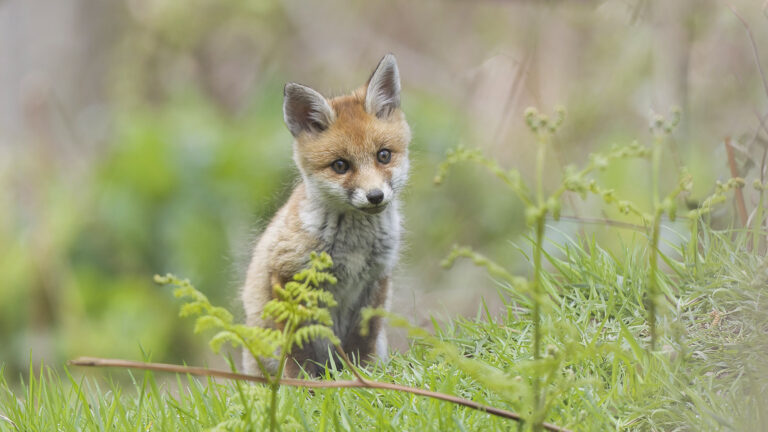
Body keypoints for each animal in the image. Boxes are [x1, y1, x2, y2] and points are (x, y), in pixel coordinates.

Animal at [242, 54, 412, 378]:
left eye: (383, 155)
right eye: (340, 165)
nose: (375, 196)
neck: (355, 248)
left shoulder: (376, 279)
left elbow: (363, 340)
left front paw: (366, 374)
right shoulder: (284, 275)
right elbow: (298, 349)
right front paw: (304, 383)